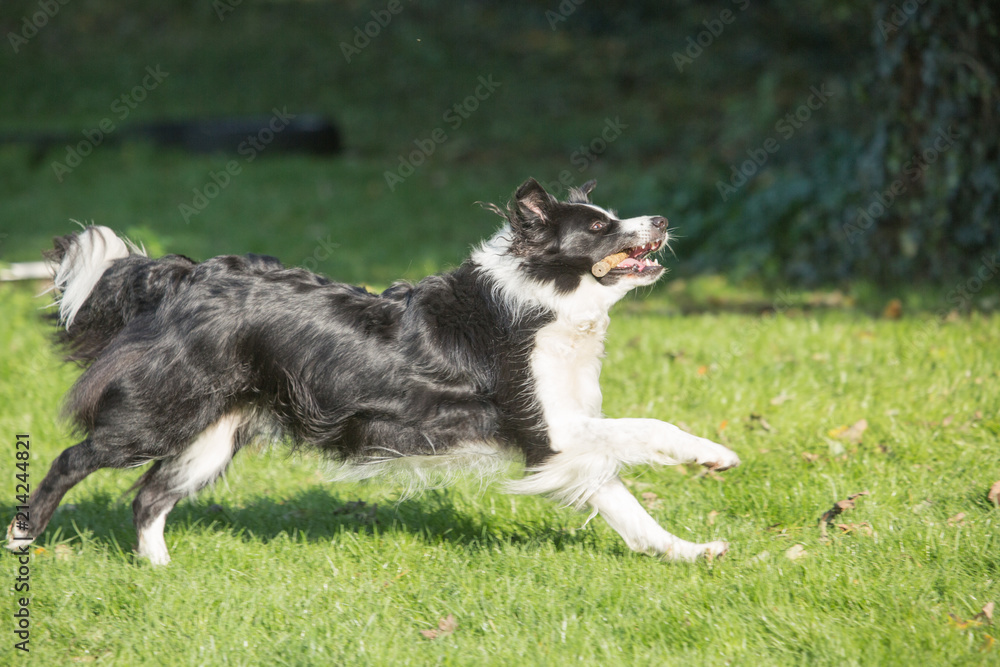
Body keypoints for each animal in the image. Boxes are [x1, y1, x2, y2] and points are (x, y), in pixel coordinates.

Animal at [7, 180, 740, 568]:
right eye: (598, 227)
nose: (662, 217)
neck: (541, 299)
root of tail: (184, 274)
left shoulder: (560, 439)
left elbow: (624, 504)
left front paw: (689, 549)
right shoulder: (545, 427)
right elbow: (647, 429)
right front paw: (714, 453)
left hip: (214, 432)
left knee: (150, 495)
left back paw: (158, 568)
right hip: (160, 413)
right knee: (75, 458)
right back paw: (23, 532)